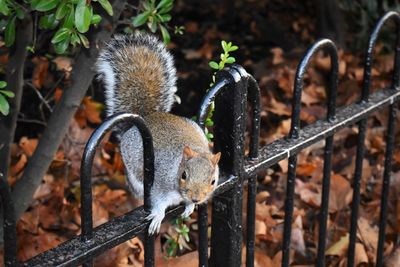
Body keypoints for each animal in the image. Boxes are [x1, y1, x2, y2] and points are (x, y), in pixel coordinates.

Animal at [97, 32, 222, 236]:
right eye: (184, 175)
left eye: (213, 181)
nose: (196, 198)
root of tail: (146, 119)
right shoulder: (158, 187)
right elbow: (159, 203)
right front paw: (158, 216)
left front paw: (189, 206)